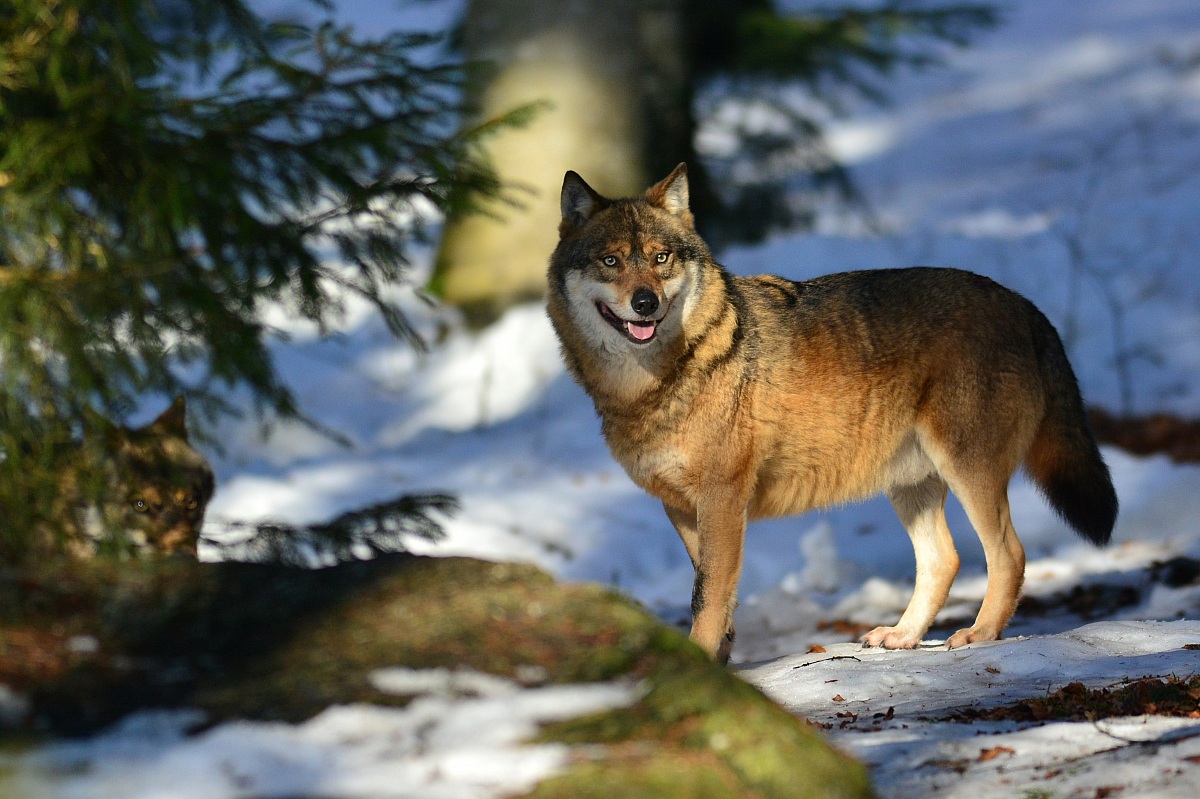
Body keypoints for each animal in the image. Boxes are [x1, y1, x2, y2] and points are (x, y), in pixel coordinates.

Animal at [547, 163, 1118, 663]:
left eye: (661, 257)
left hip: (966, 472)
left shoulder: (723, 500)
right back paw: (903, 636)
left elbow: (707, 597)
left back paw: (978, 634)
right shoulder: (682, 508)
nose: (645, 303)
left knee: (1009, 555)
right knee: (946, 560)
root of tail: (1025, 304)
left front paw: (699, 663)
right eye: (611, 262)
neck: (657, 381)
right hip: (911, 486)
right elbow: (714, 592)